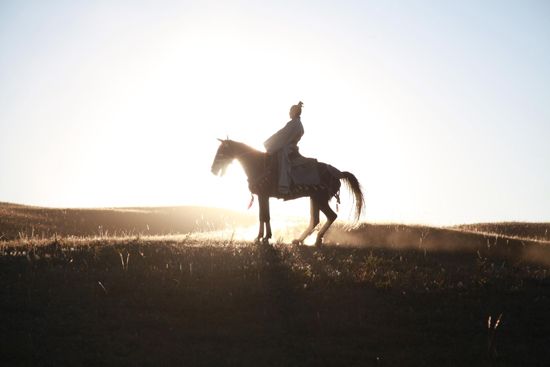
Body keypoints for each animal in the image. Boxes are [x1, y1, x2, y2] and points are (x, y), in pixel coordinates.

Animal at [212, 139, 366, 246]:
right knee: (315, 219)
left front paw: (262, 237)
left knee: (331, 216)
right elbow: (264, 216)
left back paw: (317, 239)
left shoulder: (263, 196)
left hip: (320, 199)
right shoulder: (264, 197)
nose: (213, 169)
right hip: (314, 198)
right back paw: (299, 240)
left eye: (221, 151)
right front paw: (264, 237)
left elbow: (264, 216)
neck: (257, 164)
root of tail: (338, 173)